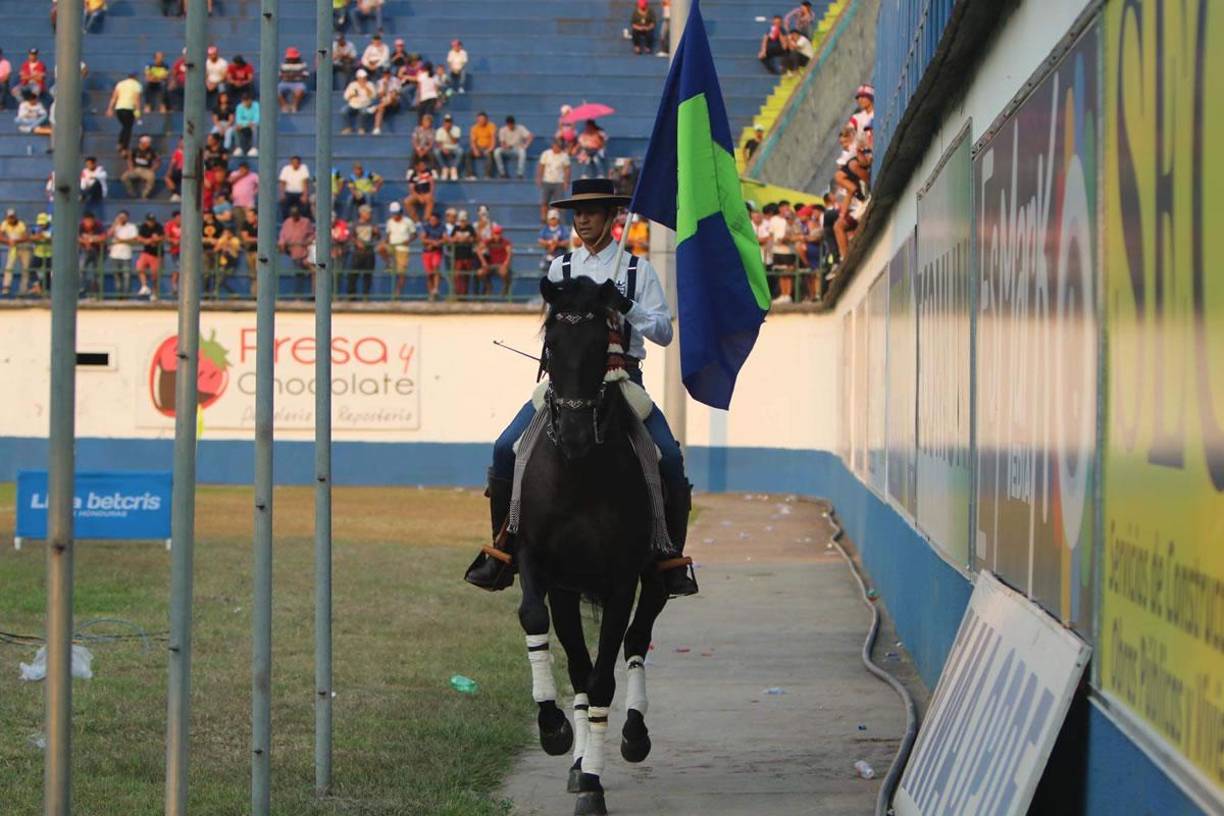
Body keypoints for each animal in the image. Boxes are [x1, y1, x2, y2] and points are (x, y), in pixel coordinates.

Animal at [514, 274, 672, 816]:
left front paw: (593, 786)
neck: (579, 475)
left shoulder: (623, 579)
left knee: (636, 641)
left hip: (657, 578)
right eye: (551, 344)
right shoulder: (543, 569)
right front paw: (556, 731)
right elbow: (541, 628)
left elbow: (604, 677)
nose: (576, 434)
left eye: (603, 347)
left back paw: (635, 734)